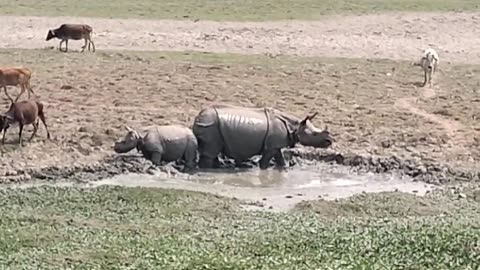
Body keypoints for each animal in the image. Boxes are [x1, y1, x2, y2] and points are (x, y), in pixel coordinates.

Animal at [191, 104, 334, 170]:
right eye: (314, 134)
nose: (330, 141)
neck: (296, 126)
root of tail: (197, 118)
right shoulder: (271, 146)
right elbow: (264, 162)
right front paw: (264, 169)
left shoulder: (275, 145)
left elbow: (280, 159)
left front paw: (284, 168)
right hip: (210, 125)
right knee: (210, 152)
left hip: (212, 127)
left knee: (213, 151)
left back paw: (217, 167)